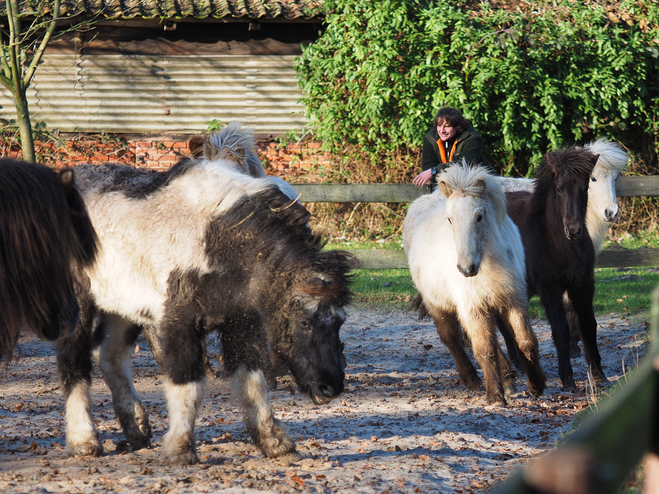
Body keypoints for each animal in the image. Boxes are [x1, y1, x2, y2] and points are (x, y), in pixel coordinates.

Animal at [404, 162, 548, 406]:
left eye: (479, 216)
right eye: (450, 219)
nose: (465, 268)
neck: (486, 262)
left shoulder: (513, 300)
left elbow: (526, 342)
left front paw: (536, 385)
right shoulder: (472, 307)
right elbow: (485, 350)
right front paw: (495, 396)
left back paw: (508, 377)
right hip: (439, 305)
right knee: (453, 340)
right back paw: (472, 379)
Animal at [506, 147, 608, 390]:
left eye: (584, 188)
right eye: (559, 189)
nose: (573, 229)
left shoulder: (582, 284)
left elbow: (588, 325)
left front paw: (598, 374)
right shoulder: (550, 287)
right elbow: (560, 328)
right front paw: (567, 378)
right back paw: (517, 363)